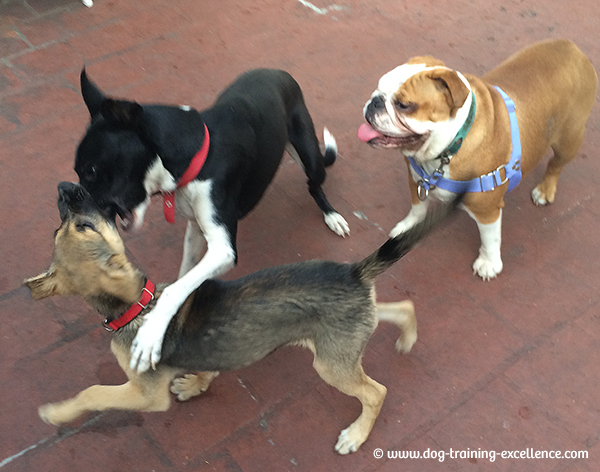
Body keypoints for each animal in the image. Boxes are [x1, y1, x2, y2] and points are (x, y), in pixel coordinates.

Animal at [22, 182, 454, 454]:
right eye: (59, 227)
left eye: (83, 225)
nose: (64, 188)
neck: (137, 306)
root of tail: (355, 273)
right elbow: (211, 365)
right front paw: (197, 384)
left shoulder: (146, 395)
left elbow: (93, 393)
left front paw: (56, 413)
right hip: (348, 337)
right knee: (396, 308)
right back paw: (407, 336)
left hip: (331, 364)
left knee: (376, 393)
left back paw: (356, 435)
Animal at [75, 68, 350, 370]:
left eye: (90, 170)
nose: (67, 195)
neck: (195, 155)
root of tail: (279, 72)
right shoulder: (196, 230)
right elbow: (184, 280)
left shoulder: (223, 248)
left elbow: (174, 290)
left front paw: (150, 335)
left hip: (310, 156)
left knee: (315, 184)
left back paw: (332, 215)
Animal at [358, 40, 596, 280]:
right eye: (378, 88)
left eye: (404, 105)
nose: (374, 102)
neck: (451, 145)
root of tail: (571, 47)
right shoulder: (416, 179)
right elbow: (417, 208)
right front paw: (409, 227)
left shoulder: (487, 210)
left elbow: (490, 238)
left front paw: (489, 263)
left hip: (569, 139)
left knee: (556, 164)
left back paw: (545, 190)